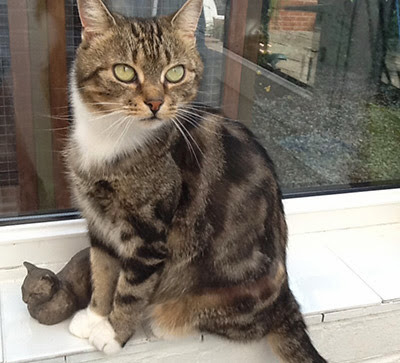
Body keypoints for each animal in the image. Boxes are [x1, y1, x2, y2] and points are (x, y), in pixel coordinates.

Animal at [66, 0, 328, 362]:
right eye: (124, 72)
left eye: (175, 73)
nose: (155, 103)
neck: (110, 140)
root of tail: (285, 303)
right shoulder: (98, 222)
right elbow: (102, 271)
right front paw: (95, 317)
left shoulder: (149, 235)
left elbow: (130, 290)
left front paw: (113, 334)